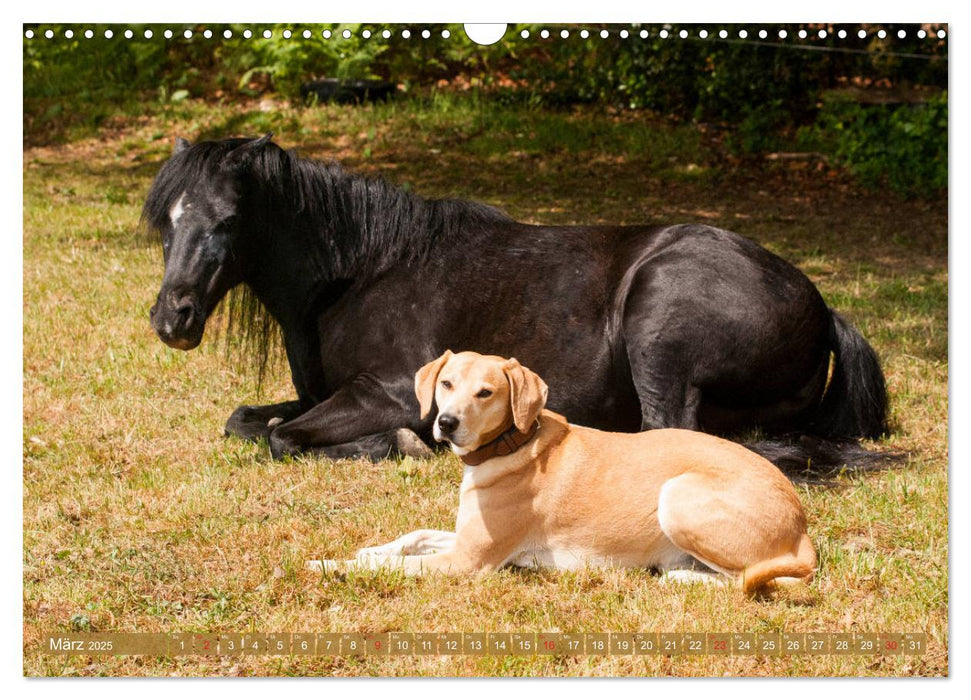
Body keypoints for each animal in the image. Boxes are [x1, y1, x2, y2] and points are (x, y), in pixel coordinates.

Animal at [140, 135, 892, 474]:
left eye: (228, 219)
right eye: (168, 222)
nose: (173, 319)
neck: (361, 270)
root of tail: (820, 306)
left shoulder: (385, 392)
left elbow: (281, 437)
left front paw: (405, 442)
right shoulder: (323, 391)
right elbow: (246, 421)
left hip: (659, 329)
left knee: (664, 435)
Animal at [308, 350, 816, 592]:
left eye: (485, 392)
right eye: (447, 383)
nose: (446, 423)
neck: (513, 444)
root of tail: (801, 524)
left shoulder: (467, 562)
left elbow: (392, 567)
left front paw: (328, 564)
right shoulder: (467, 540)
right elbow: (410, 538)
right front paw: (369, 550)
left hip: (677, 495)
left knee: (750, 579)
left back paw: (680, 576)